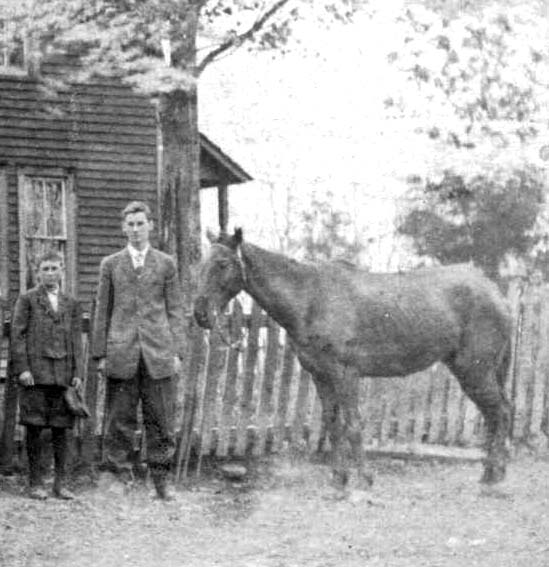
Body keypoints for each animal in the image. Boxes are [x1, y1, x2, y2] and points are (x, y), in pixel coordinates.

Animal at [195, 230, 512, 488]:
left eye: (222, 264)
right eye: (201, 264)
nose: (200, 314)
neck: (311, 298)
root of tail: (495, 291)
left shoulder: (346, 374)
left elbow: (353, 426)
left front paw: (364, 479)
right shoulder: (320, 376)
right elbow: (333, 426)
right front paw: (339, 478)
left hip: (474, 372)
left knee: (500, 413)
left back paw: (491, 476)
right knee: (497, 414)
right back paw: (493, 472)